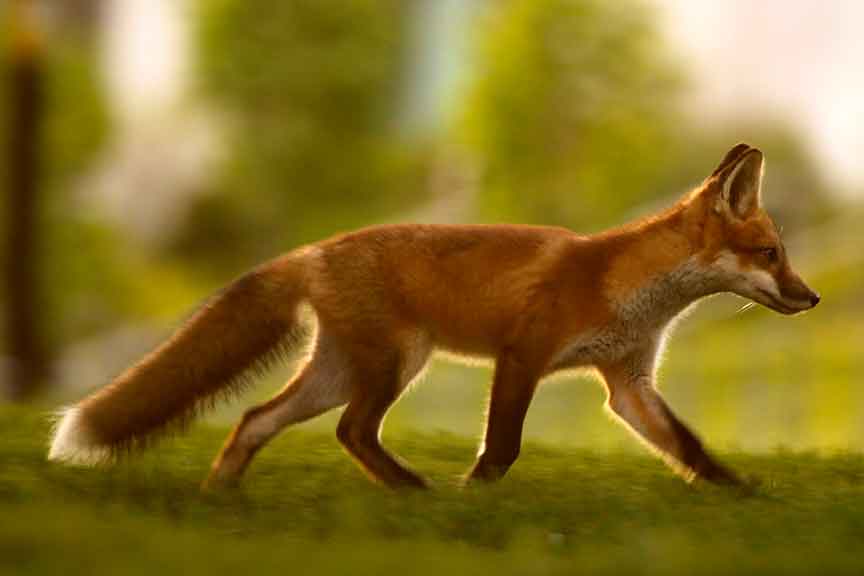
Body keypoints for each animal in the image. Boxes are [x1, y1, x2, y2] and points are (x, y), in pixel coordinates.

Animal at [48, 144, 819, 489]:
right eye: (772, 254)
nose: (811, 298)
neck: (622, 285)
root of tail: (314, 249)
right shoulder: (523, 355)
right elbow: (502, 447)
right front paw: (473, 497)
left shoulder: (627, 383)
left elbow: (688, 447)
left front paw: (741, 495)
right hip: (395, 363)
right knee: (350, 431)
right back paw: (414, 494)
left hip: (341, 371)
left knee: (258, 420)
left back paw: (222, 499)